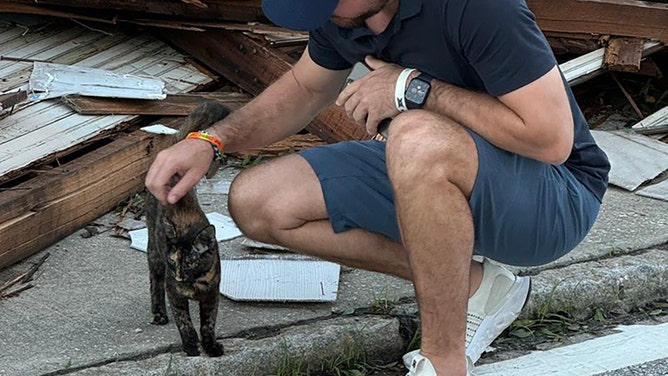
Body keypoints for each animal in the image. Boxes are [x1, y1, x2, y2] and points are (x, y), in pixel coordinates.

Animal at [145, 101, 230, 356]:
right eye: (174, 262)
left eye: (191, 262)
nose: (180, 277)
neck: (195, 284)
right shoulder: (175, 295)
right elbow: (185, 322)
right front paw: (192, 346)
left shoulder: (212, 295)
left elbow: (208, 323)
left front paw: (211, 346)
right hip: (154, 252)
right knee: (155, 280)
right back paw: (159, 314)